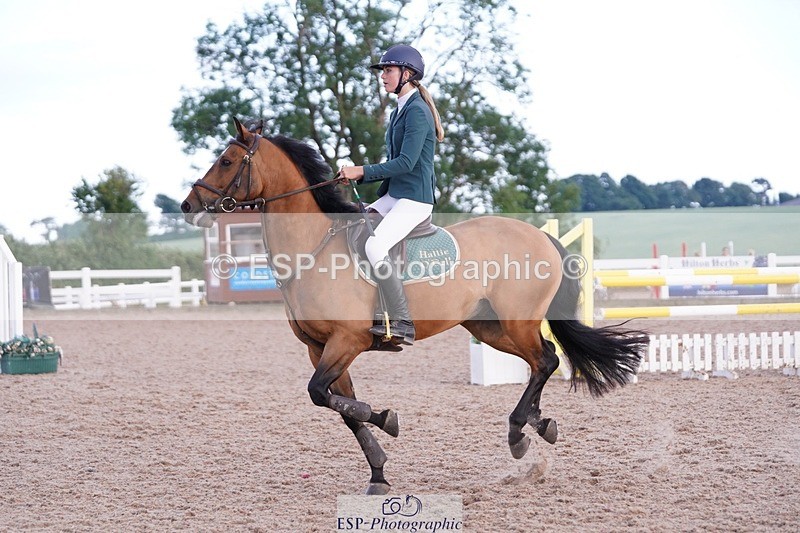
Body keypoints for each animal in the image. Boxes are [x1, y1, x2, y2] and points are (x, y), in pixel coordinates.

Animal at [181, 117, 649, 495]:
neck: (312, 251)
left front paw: (386, 418)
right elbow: (341, 407)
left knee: (546, 360)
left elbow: (323, 395)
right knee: (542, 359)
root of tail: (539, 235)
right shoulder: (320, 348)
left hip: (516, 321)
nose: (188, 206)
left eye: (227, 161)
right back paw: (538, 423)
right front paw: (379, 472)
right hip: (488, 328)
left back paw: (519, 433)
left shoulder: (347, 341)